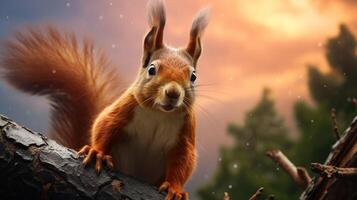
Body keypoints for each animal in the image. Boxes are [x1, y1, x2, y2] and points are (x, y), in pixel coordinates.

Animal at [0, 0, 209, 199]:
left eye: (193, 76)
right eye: (152, 69)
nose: (173, 93)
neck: (159, 113)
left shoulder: (185, 134)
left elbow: (184, 160)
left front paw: (175, 189)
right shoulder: (125, 108)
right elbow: (106, 125)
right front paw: (98, 154)